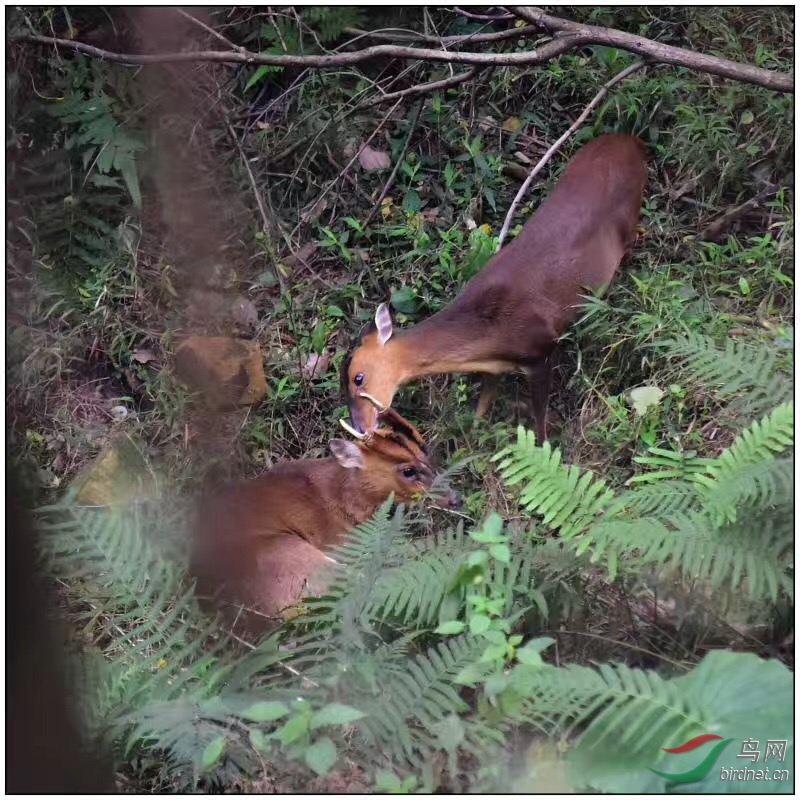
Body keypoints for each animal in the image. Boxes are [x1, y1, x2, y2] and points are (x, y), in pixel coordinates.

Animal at [340, 134, 648, 440]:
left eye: (358, 377)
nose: (361, 428)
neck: (490, 330)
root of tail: (632, 140)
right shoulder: (494, 366)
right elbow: (484, 403)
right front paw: (473, 438)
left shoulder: (541, 349)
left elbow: (539, 419)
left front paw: (542, 445)